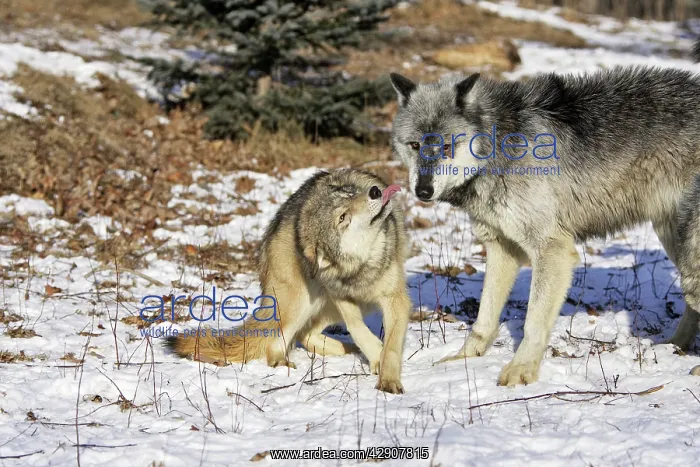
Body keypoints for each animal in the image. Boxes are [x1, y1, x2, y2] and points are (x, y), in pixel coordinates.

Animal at [166, 169, 411, 393]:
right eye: (343, 218)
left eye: (350, 194)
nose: (375, 191)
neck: (361, 267)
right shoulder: (340, 296)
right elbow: (357, 327)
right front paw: (379, 360)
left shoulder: (394, 299)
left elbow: (389, 346)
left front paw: (387, 375)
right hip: (302, 301)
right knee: (282, 339)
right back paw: (281, 362)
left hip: (325, 305)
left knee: (305, 334)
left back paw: (349, 350)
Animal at [389, 65, 700, 386]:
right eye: (415, 145)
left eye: (447, 146)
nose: (423, 191)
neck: (500, 145)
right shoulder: (502, 249)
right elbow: (484, 318)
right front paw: (465, 358)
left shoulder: (552, 250)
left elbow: (533, 323)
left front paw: (521, 369)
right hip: (674, 239)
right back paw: (677, 344)